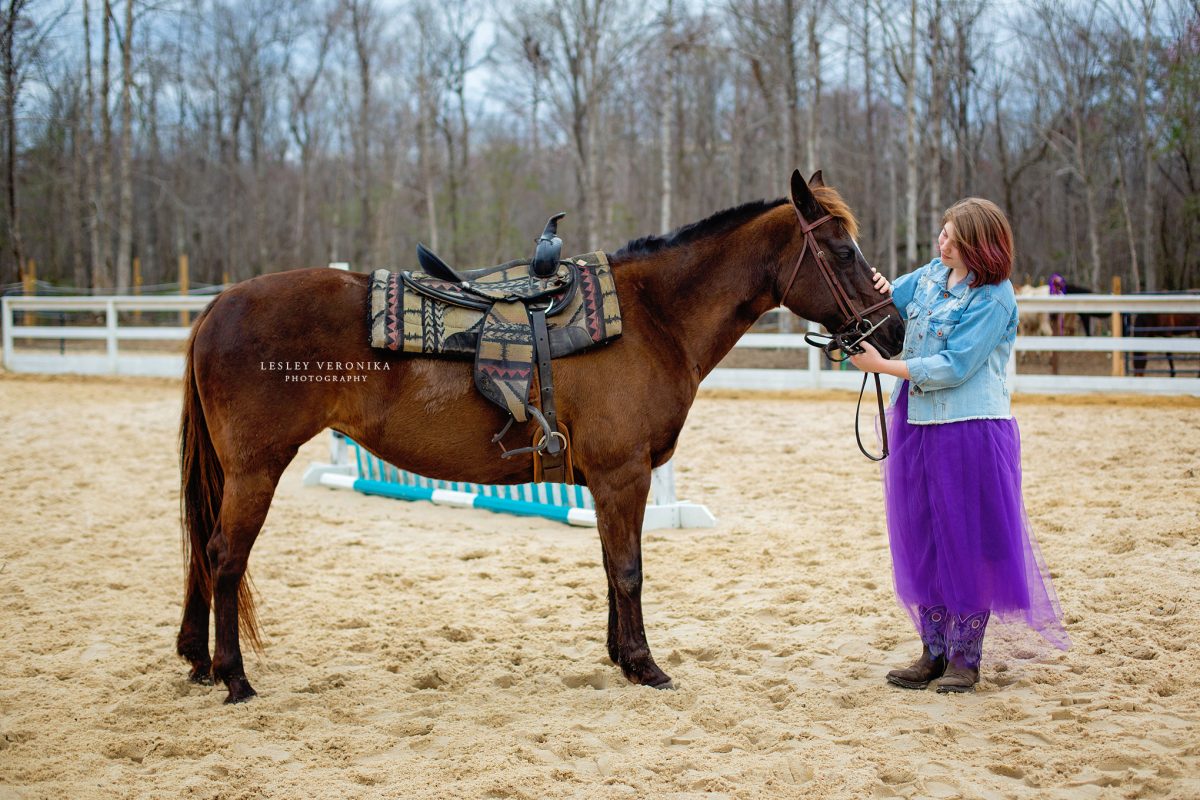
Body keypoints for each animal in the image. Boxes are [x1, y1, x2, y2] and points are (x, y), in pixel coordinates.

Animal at [177, 169, 902, 700]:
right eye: (842, 250)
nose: (891, 331)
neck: (652, 318)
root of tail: (218, 305)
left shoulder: (610, 481)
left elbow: (612, 565)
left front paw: (619, 657)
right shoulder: (622, 473)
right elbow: (631, 568)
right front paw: (645, 665)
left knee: (203, 553)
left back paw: (199, 661)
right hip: (256, 470)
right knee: (225, 556)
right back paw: (235, 677)